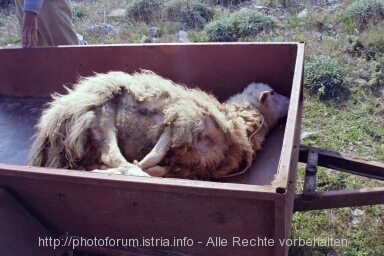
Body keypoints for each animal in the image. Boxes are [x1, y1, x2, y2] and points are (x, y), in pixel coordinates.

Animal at [28, 70, 290, 180]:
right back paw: (122, 171)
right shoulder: (180, 123)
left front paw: (145, 170)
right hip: (100, 119)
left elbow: (157, 168)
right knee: (114, 156)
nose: (290, 99)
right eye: (273, 93)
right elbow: (152, 157)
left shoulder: (189, 165)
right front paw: (138, 167)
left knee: (107, 160)